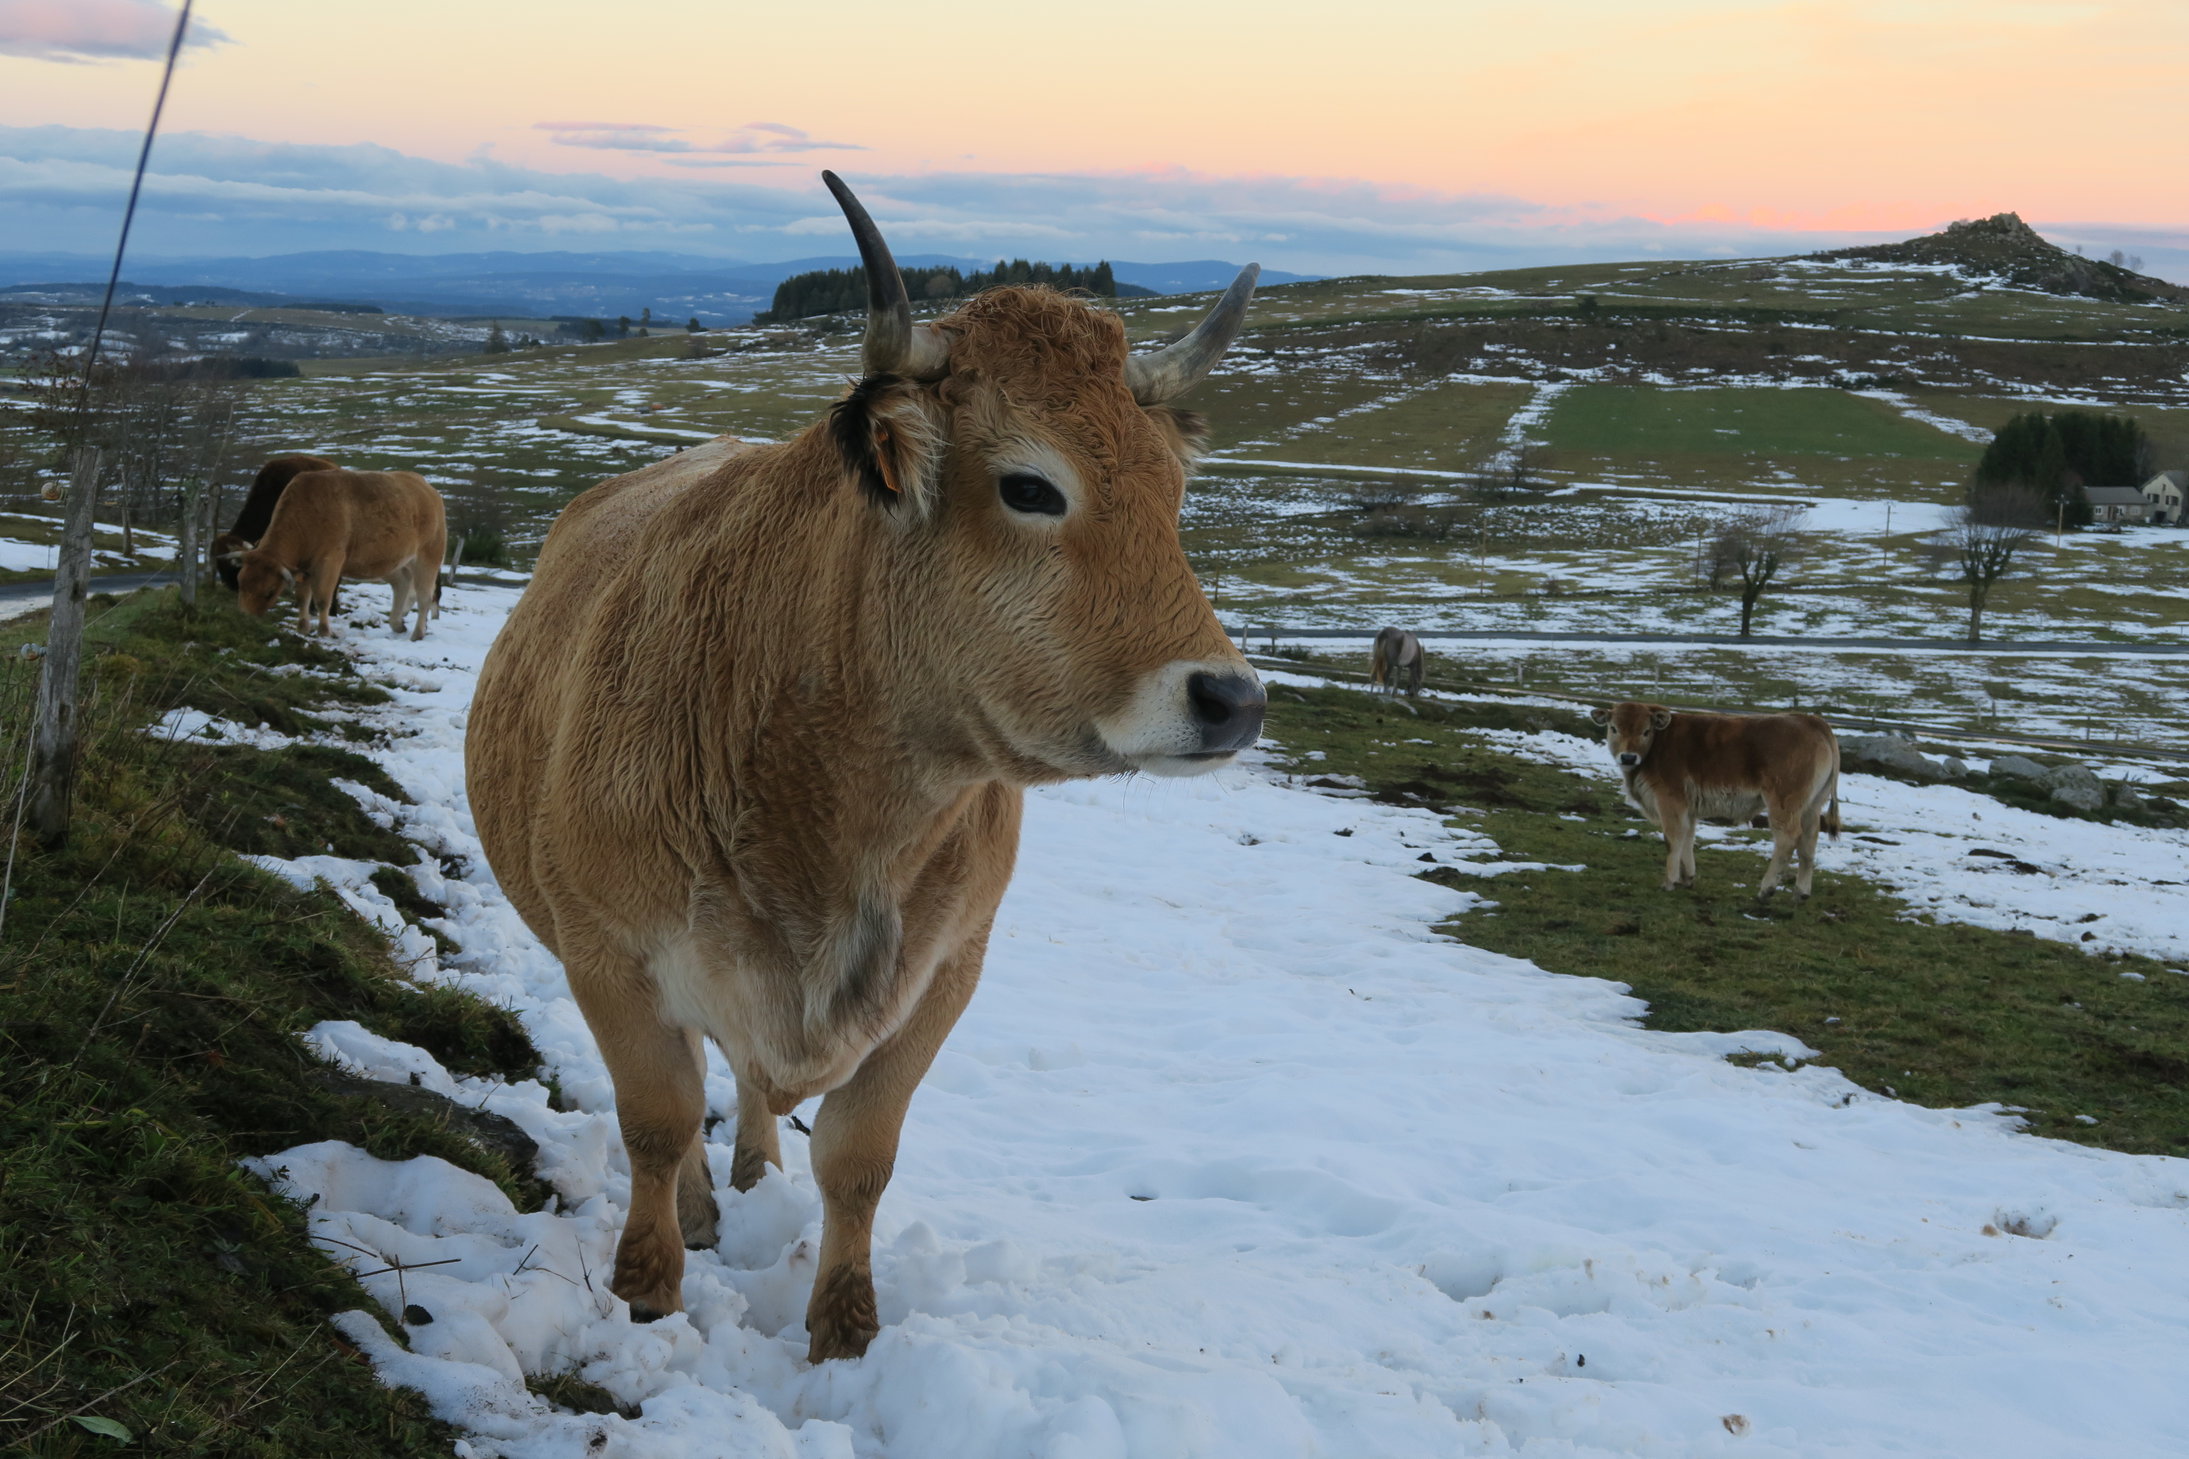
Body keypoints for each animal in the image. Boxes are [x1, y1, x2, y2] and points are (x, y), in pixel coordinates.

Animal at [237, 470, 446, 643]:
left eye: (269, 591)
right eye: (240, 583)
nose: (246, 620)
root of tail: (426, 488)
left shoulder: (330, 561)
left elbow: (322, 598)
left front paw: (324, 631)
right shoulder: (304, 568)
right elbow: (303, 598)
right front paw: (302, 628)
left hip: (428, 557)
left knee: (424, 596)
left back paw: (417, 633)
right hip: (392, 562)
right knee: (402, 584)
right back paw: (397, 623)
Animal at [470, 173, 1278, 1373]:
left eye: (1172, 494)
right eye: (1031, 487)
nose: (1231, 700)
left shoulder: (942, 973)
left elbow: (859, 1156)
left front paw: (845, 1331)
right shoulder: (607, 951)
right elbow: (657, 1118)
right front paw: (648, 1289)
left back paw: (753, 1169)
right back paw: (705, 1206)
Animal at [1593, 699, 1830, 896]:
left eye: (1645, 731)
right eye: (1614, 728)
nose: (1628, 757)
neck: (1658, 746)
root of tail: (1810, 720)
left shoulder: (1669, 800)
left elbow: (1673, 839)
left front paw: (1669, 881)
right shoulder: (1688, 807)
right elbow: (1688, 837)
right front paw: (1687, 878)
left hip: (1783, 802)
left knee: (1787, 838)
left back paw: (1767, 888)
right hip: (1811, 805)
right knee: (1809, 842)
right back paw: (1801, 892)